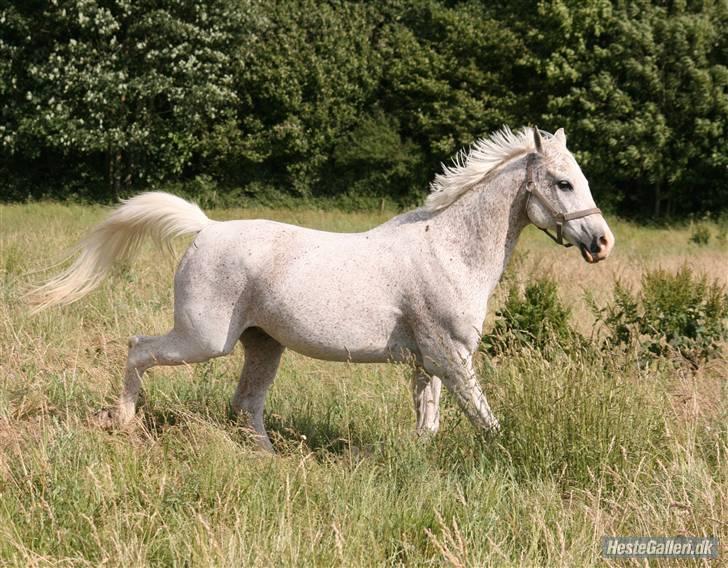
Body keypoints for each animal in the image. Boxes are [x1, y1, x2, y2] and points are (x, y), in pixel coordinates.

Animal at [28, 126, 612, 450]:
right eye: (564, 182)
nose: (602, 243)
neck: (450, 250)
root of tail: (206, 227)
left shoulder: (430, 361)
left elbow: (430, 422)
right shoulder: (450, 356)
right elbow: (482, 416)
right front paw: (505, 454)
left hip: (263, 344)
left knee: (246, 404)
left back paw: (272, 461)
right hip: (202, 339)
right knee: (139, 349)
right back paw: (123, 422)